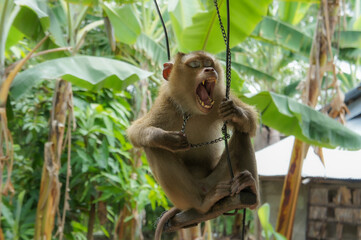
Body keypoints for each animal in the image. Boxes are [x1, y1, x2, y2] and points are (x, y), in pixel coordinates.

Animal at [126, 50, 258, 238]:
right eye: (195, 65)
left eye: (209, 63)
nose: (210, 69)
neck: (193, 110)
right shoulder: (166, 104)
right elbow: (136, 131)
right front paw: (167, 139)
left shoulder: (220, 97)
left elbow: (251, 123)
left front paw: (235, 112)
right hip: (184, 198)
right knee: (152, 148)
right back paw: (203, 203)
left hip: (221, 180)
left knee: (242, 133)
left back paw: (250, 189)